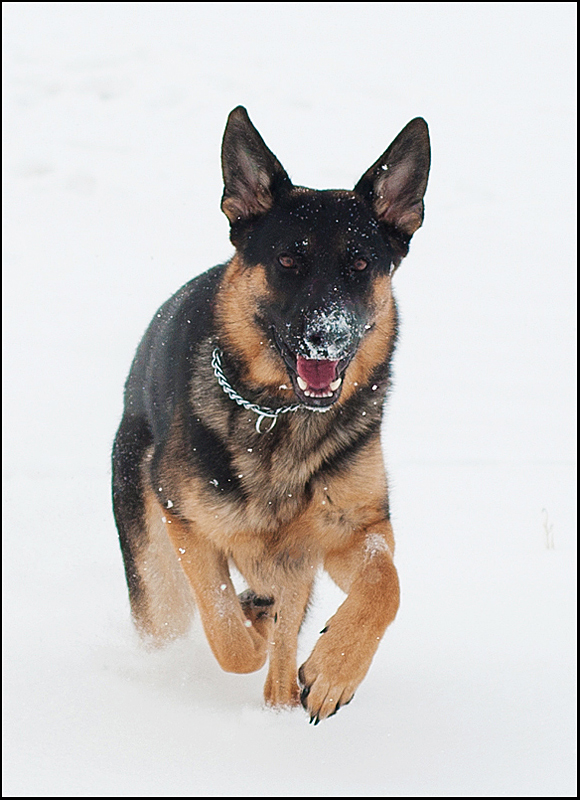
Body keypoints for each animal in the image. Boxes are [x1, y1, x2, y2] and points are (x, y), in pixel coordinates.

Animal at [112, 106, 430, 724]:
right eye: (288, 260)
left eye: (360, 264)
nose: (327, 336)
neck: (280, 416)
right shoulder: (187, 526)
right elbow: (227, 634)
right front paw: (250, 628)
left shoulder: (355, 530)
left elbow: (386, 586)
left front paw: (335, 669)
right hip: (159, 584)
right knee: (189, 623)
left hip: (297, 561)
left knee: (285, 649)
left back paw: (286, 692)